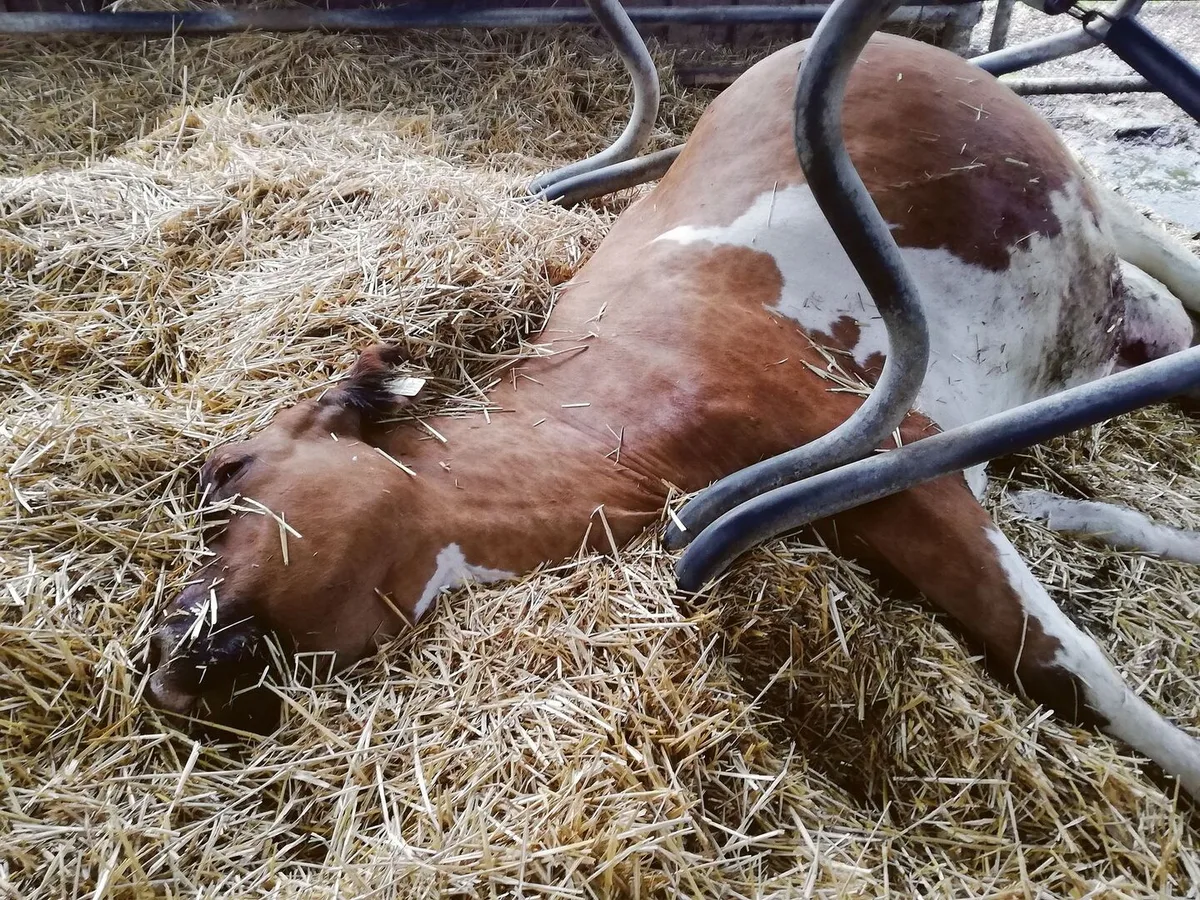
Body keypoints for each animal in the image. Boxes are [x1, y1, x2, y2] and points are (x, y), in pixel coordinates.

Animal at [145, 33, 1200, 797]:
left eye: (227, 473)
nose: (160, 655)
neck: (613, 419)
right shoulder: (915, 483)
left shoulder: (898, 454)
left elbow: (1065, 662)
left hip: (1087, 191)